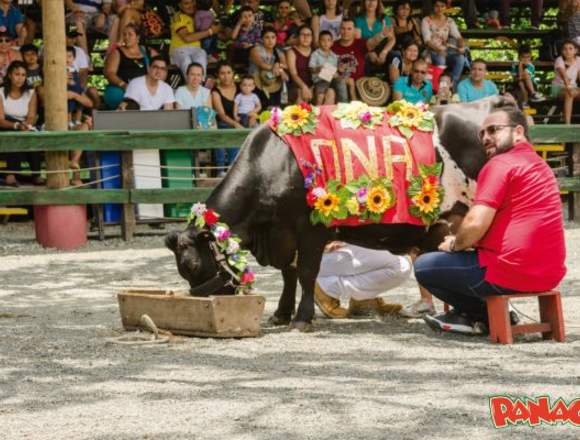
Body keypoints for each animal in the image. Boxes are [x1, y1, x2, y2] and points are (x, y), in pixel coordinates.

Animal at [164, 97, 512, 330]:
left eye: (192, 265)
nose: (215, 304)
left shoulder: (310, 230)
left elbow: (306, 272)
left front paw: (302, 319)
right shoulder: (284, 232)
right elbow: (289, 273)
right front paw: (281, 313)